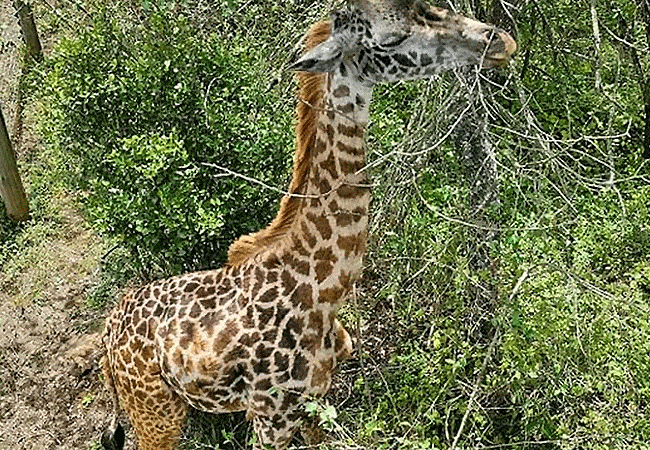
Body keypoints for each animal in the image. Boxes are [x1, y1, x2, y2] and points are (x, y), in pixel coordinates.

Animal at [101, 1, 516, 448]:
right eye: (392, 38)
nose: (501, 42)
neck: (320, 291)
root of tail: (107, 334)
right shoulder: (269, 418)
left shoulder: (318, 397)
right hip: (156, 412)